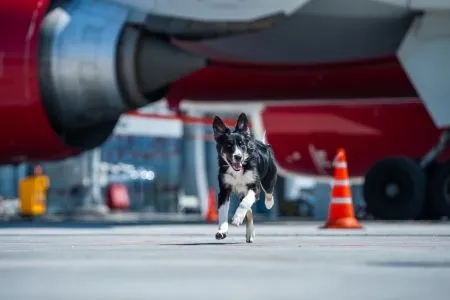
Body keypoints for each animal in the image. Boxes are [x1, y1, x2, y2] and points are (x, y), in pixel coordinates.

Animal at [212, 113, 278, 244]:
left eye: (242, 145)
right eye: (228, 145)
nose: (238, 157)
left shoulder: (254, 186)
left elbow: (245, 203)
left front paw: (237, 218)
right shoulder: (224, 190)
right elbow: (223, 211)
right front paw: (222, 231)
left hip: (268, 179)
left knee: (268, 193)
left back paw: (268, 203)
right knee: (250, 211)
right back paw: (250, 234)